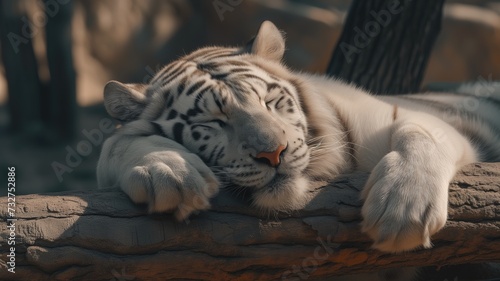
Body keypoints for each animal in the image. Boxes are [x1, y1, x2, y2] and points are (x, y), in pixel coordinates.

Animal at [97, 20, 500, 256]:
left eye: (271, 102)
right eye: (214, 122)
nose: (273, 153)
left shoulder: (410, 116)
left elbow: (419, 133)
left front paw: (402, 210)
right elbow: (117, 143)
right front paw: (171, 172)